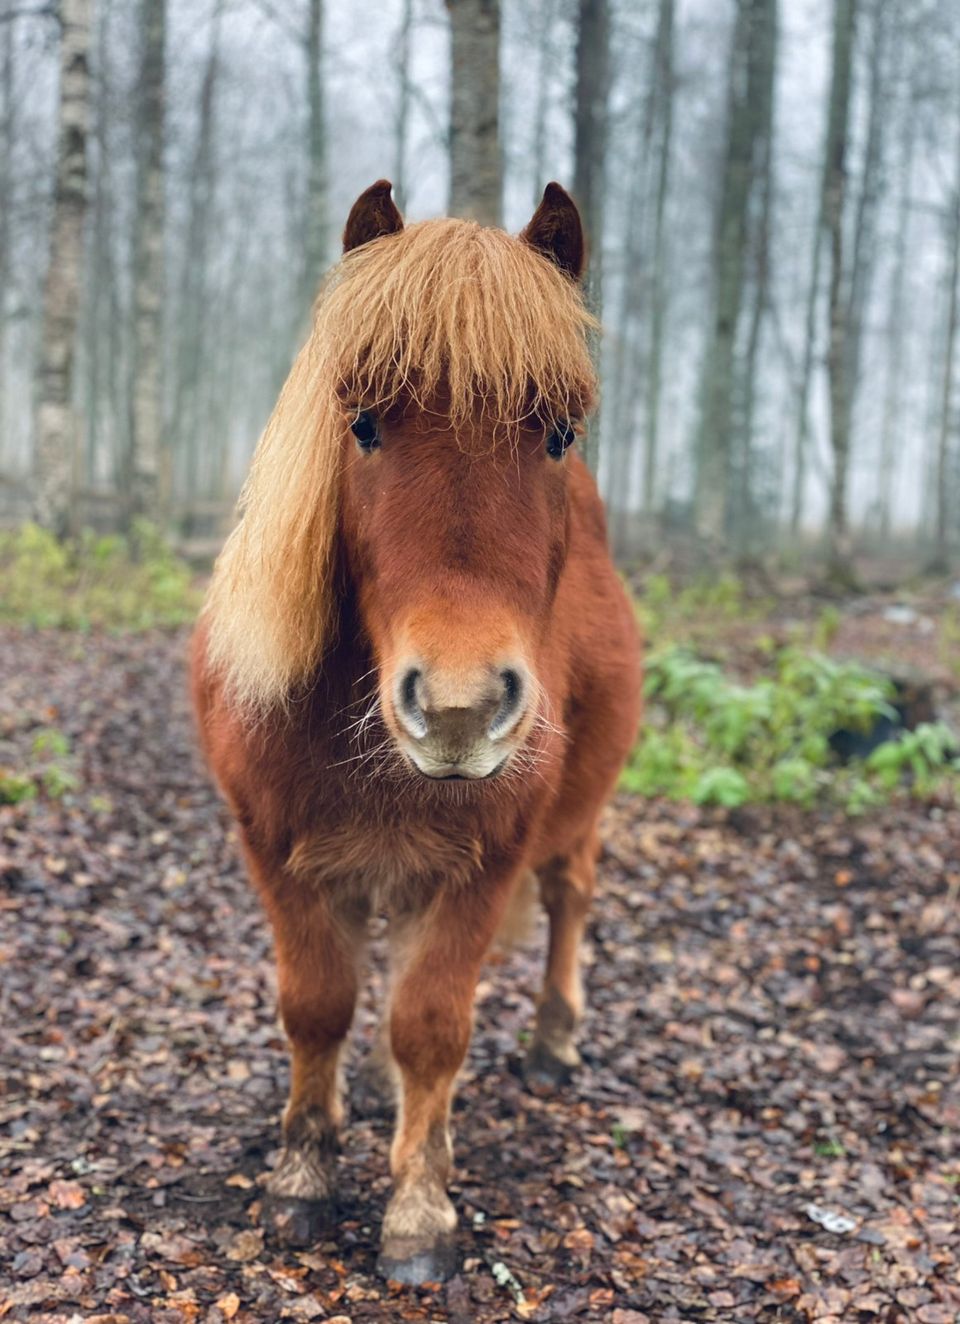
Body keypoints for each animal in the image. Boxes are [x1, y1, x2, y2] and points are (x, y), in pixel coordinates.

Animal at [190, 178, 640, 1281]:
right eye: (361, 424)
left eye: (558, 433)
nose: (460, 706)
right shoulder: (276, 849)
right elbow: (317, 1005)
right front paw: (302, 1177)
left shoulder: (483, 863)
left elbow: (431, 1026)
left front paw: (419, 1211)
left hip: (575, 817)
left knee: (570, 893)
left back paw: (555, 1042)